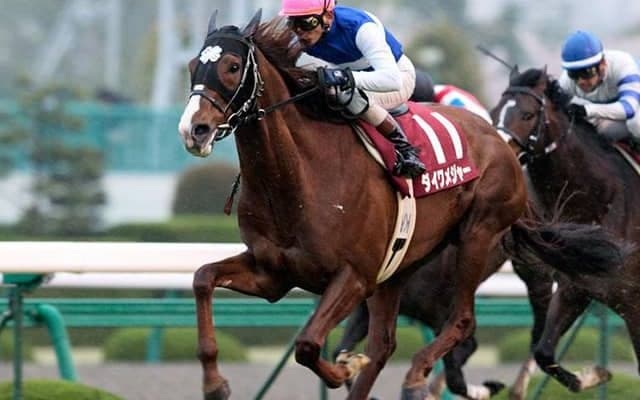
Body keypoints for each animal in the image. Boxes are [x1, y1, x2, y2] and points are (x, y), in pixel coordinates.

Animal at [491, 66, 640, 396]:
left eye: (528, 114)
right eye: (495, 112)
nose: (498, 157)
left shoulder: (634, 301)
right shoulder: (576, 288)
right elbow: (544, 353)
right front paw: (593, 374)